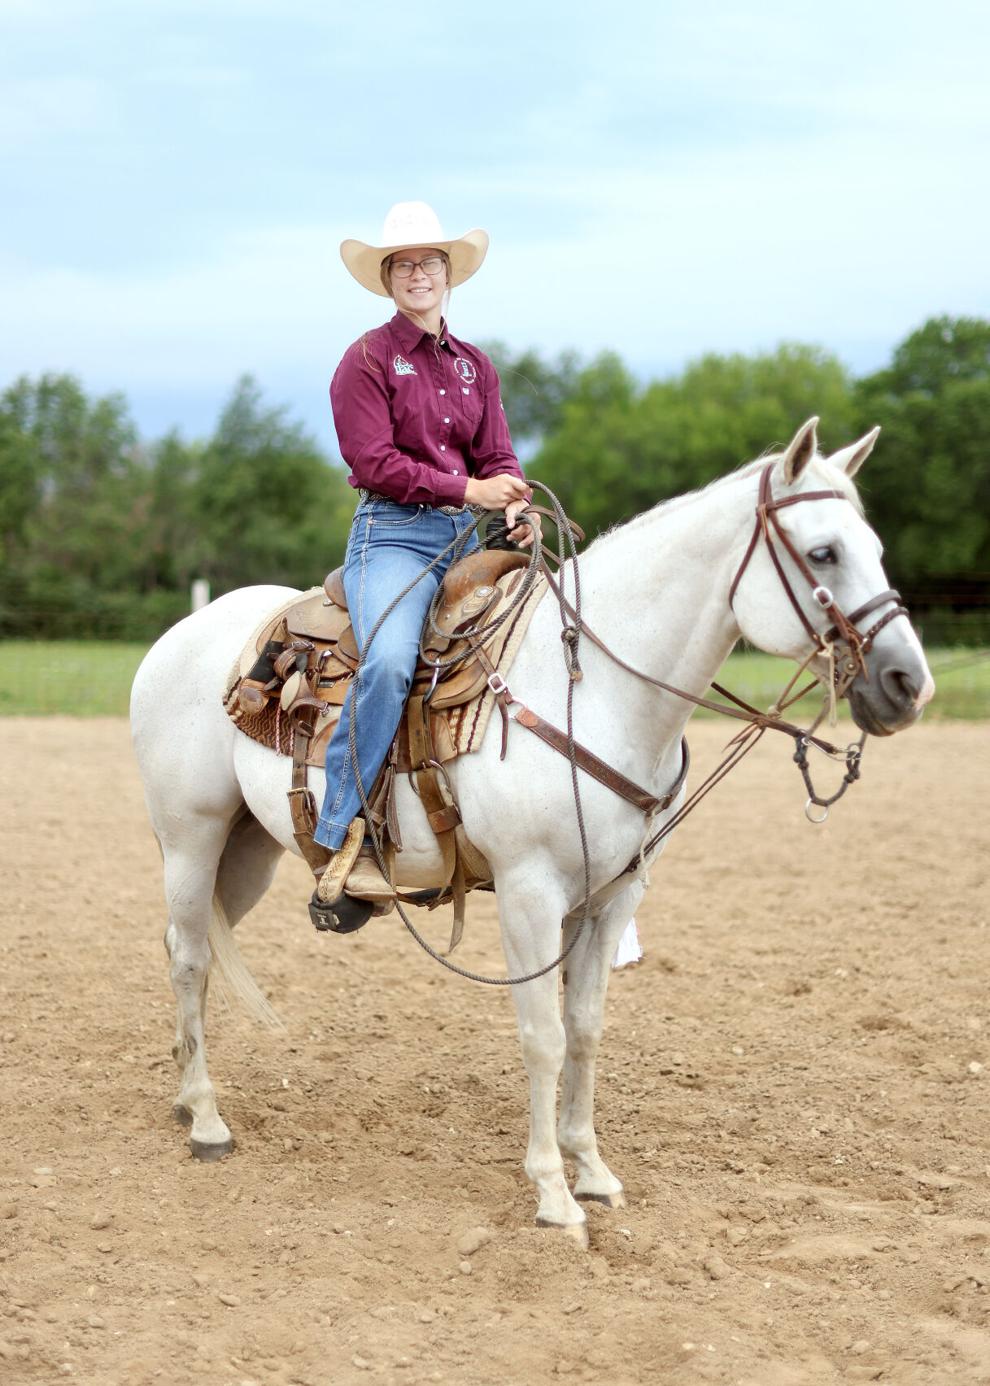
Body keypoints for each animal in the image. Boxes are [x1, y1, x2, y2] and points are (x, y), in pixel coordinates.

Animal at [130, 417, 934, 1246]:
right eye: (823, 552)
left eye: (872, 546)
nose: (909, 683)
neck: (595, 690)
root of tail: (182, 632)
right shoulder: (529, 892)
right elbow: (541, 1035)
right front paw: (552, 1192)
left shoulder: (614, 895)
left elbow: (584, 1027)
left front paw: (594, 1171)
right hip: (191, 837)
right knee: (189, 956)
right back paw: (208, 1121)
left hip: (246, 850)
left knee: (187, 944)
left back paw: (186, 1097)